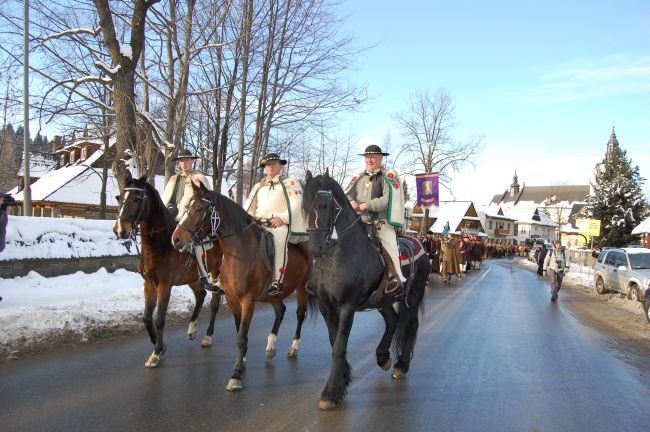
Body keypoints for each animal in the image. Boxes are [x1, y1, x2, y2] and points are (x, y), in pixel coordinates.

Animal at [112, 172, 223, 368]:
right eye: (120, 197)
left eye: (137, 198)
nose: (120, 230)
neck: (160, 245)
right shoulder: (149, 284)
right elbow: (147, 318)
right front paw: (161, 346)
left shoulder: (165, 285)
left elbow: (159, 319)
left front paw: (156, 353)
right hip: (193, 278)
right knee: (200, 295)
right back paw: (191, 329)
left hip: (216, 273)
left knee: (214, 302)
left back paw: (208, 336)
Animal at [171, 182, 312, 392]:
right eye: (186, 206)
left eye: (199, 209)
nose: (176, 239)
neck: (239, 250)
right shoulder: (232, 299)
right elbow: (239, 331)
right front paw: (241, 362)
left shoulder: (248, 301)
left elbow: (242, 336)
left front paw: (236, 376)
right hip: (272, 295)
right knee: (280, 310)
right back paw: (271, 347)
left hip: (302, 289)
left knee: (299, 315)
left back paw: (293, 348)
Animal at [302, 170, 430, 410]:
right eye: (303, 206)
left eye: (324, 205)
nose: (315, 248)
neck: (337, 256)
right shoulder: (325, 306)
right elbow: (334, 341)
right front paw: (343, 380)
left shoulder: (347, 306)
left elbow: (339, 346)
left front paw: (330, 393)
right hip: (382, 300)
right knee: (393, 320)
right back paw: (383, 357)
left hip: (412, 297)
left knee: (410, 325)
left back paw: (401, 365)